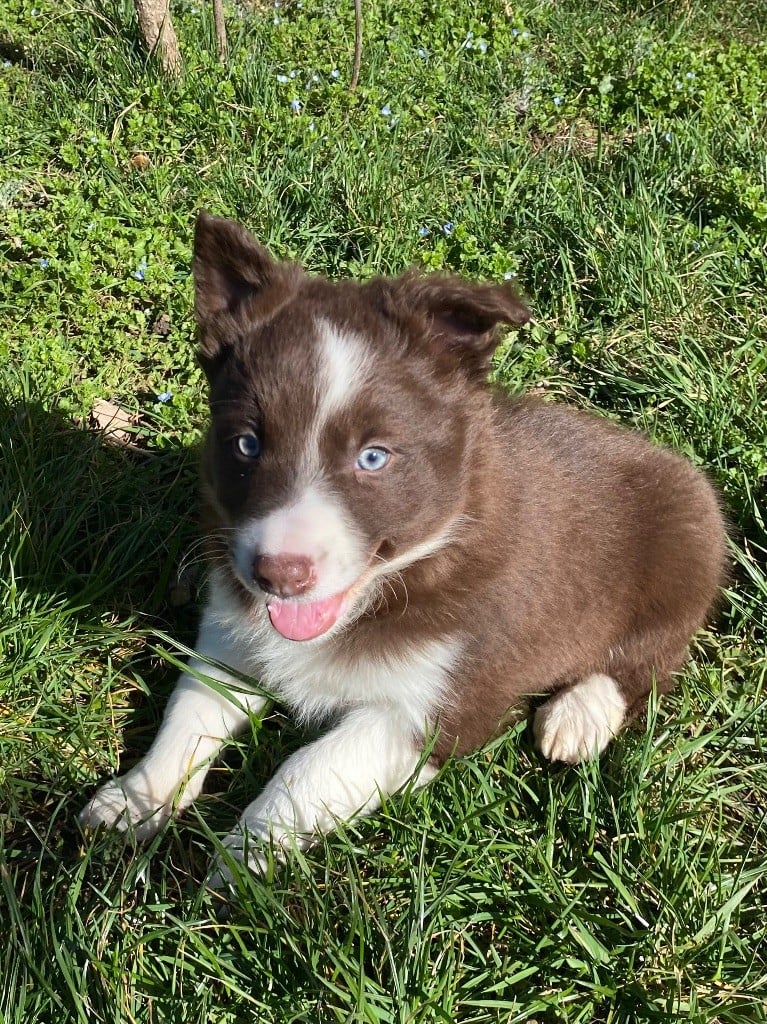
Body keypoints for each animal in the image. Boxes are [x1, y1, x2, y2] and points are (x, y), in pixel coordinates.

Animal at [79, 211, 729, 876]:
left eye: (374, 457)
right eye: (246, 445)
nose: (278, 575)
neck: (399, 578)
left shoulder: (436, 705)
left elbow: (305, 770)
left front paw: (239, 864)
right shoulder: (231, 638)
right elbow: (189, 707)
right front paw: (135, 800)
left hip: (684, 552)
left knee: (648, 662)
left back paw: (577, 717)